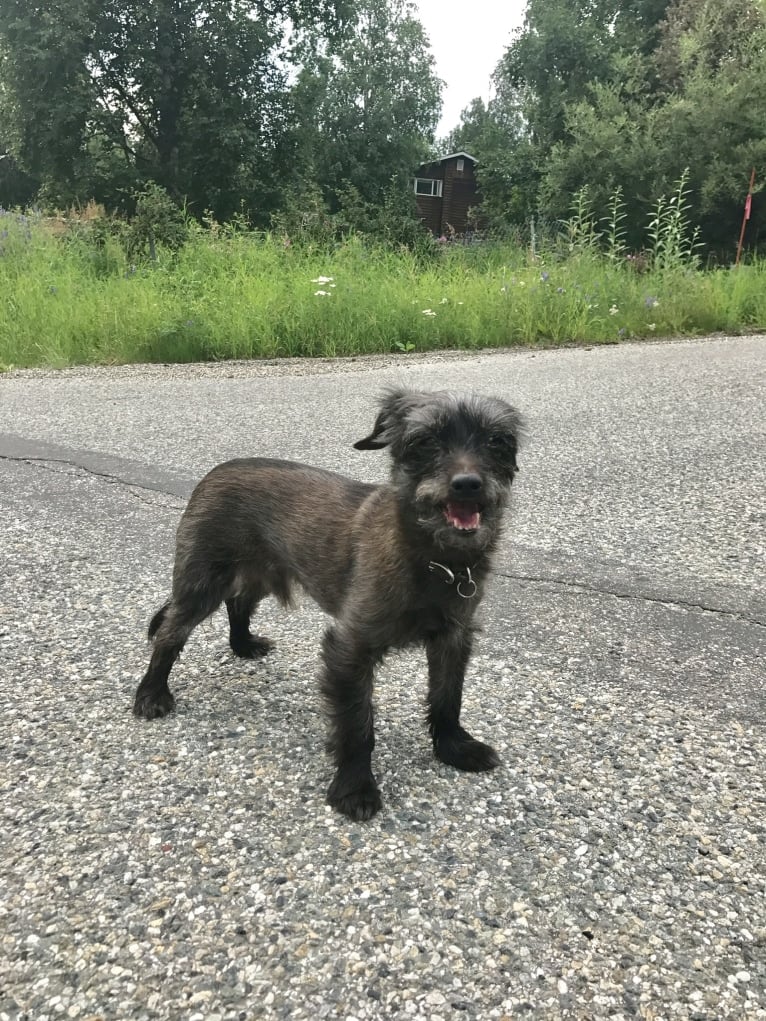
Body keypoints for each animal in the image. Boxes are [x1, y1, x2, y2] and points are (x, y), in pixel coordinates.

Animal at [134, 390, 527, 820]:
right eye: (424, 441)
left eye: (498, 441)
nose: (468, 484)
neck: (435, 559)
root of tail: (215, 472)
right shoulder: (350, 650)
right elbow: (357, 725)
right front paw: (355, 787)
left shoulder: (453, 639)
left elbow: (447, 697)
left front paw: (454, 747)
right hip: (201, 584)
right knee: (170, 632)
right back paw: (151, 694)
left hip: (261, 573)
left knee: (238, 603)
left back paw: (243, 644)